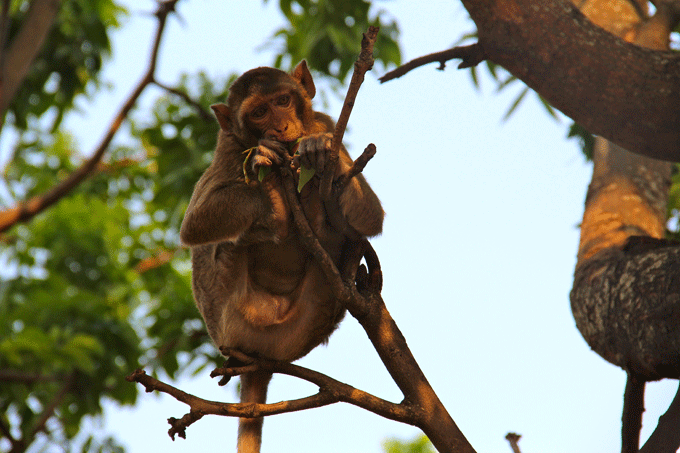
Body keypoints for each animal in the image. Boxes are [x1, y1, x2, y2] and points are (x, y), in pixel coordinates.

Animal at [179, 61, 382, 452]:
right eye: (259, 113)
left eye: (283, 101)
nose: (281, 128)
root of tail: (260, 360)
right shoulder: (229, 149)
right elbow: (194, 226)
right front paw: (267, 169)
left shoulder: (322, 121)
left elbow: (370, 217)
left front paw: (319, 150)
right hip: (226, 311)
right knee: (223, 243)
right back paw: (276, 209)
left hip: (309, 320)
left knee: (349, 234)